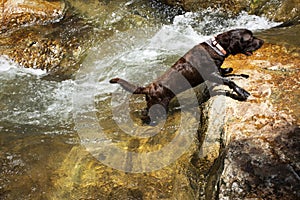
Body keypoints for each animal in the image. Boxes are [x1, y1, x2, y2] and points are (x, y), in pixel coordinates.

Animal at [109, 28, 262, 122]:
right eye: (250, 38)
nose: (262, 41)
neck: (216, 47)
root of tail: (149, 87)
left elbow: (226, 72)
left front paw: (231, 71)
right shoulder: (210, 74)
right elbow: (229, 81)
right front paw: (242, 92)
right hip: (159, 107)